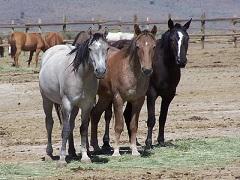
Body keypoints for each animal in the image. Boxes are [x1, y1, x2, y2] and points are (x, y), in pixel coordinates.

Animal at [38, 30, 109, 166]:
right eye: (90, 48)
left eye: (107, 48)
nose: (100, 71)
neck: (80, 76)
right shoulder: (67, 104)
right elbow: (65, 129)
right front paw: (62, 159)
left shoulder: (86, 105)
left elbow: (83, 129)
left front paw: (85, 156)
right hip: (47, 100)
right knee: (49, 123)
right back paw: (49, 153)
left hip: (75, 107)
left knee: (71, 125)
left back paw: (72, 152)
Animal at [90, 24, 158, 156]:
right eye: (138, 46)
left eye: (154, 46)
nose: (147, 70)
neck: (130, 72)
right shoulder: (118, 99)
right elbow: (119, 125)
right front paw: (116, 151)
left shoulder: (138, 100)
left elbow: (133, 125)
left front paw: (135, 150)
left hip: (105, 97)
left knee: (95, 114)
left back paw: (95, 146)